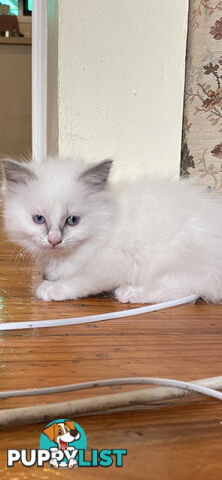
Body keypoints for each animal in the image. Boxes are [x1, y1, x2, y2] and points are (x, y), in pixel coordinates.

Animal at [2, 155, 222, 304]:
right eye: (39, 219)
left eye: (72, 220)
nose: (54, 240)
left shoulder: (110, 264)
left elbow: (80, 280)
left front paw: (51, 289)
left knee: (180, 289)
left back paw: (128, 293)